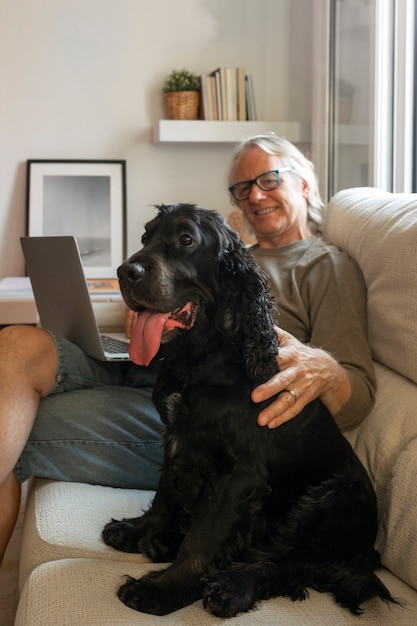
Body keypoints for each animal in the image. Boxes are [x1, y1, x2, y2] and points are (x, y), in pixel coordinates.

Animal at [102, 204, 394, 616]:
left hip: (330, 500)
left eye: (186, 240)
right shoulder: (176, 441)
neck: (202, 359)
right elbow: (164, 495)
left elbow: (204, 538)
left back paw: (232, 586)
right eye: (146, 237)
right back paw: (161, 541)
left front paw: (163, 588)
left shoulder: (241, 476)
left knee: (289, 564)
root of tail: (369, 551)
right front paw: (140, 529)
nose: (125, 272)